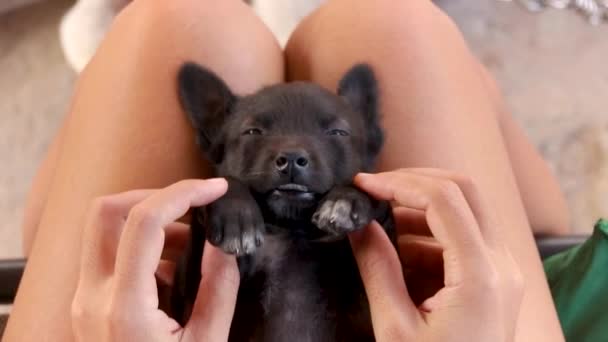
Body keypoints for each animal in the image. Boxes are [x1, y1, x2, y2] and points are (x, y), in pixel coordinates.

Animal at [171, 62, 396, 340]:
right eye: (252, 132)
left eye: (338, 132)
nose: (291, 157)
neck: (292, 230)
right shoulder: (191, 301)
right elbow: (222, 182)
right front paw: (236, 214)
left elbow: (371, 187)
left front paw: (347, 199)